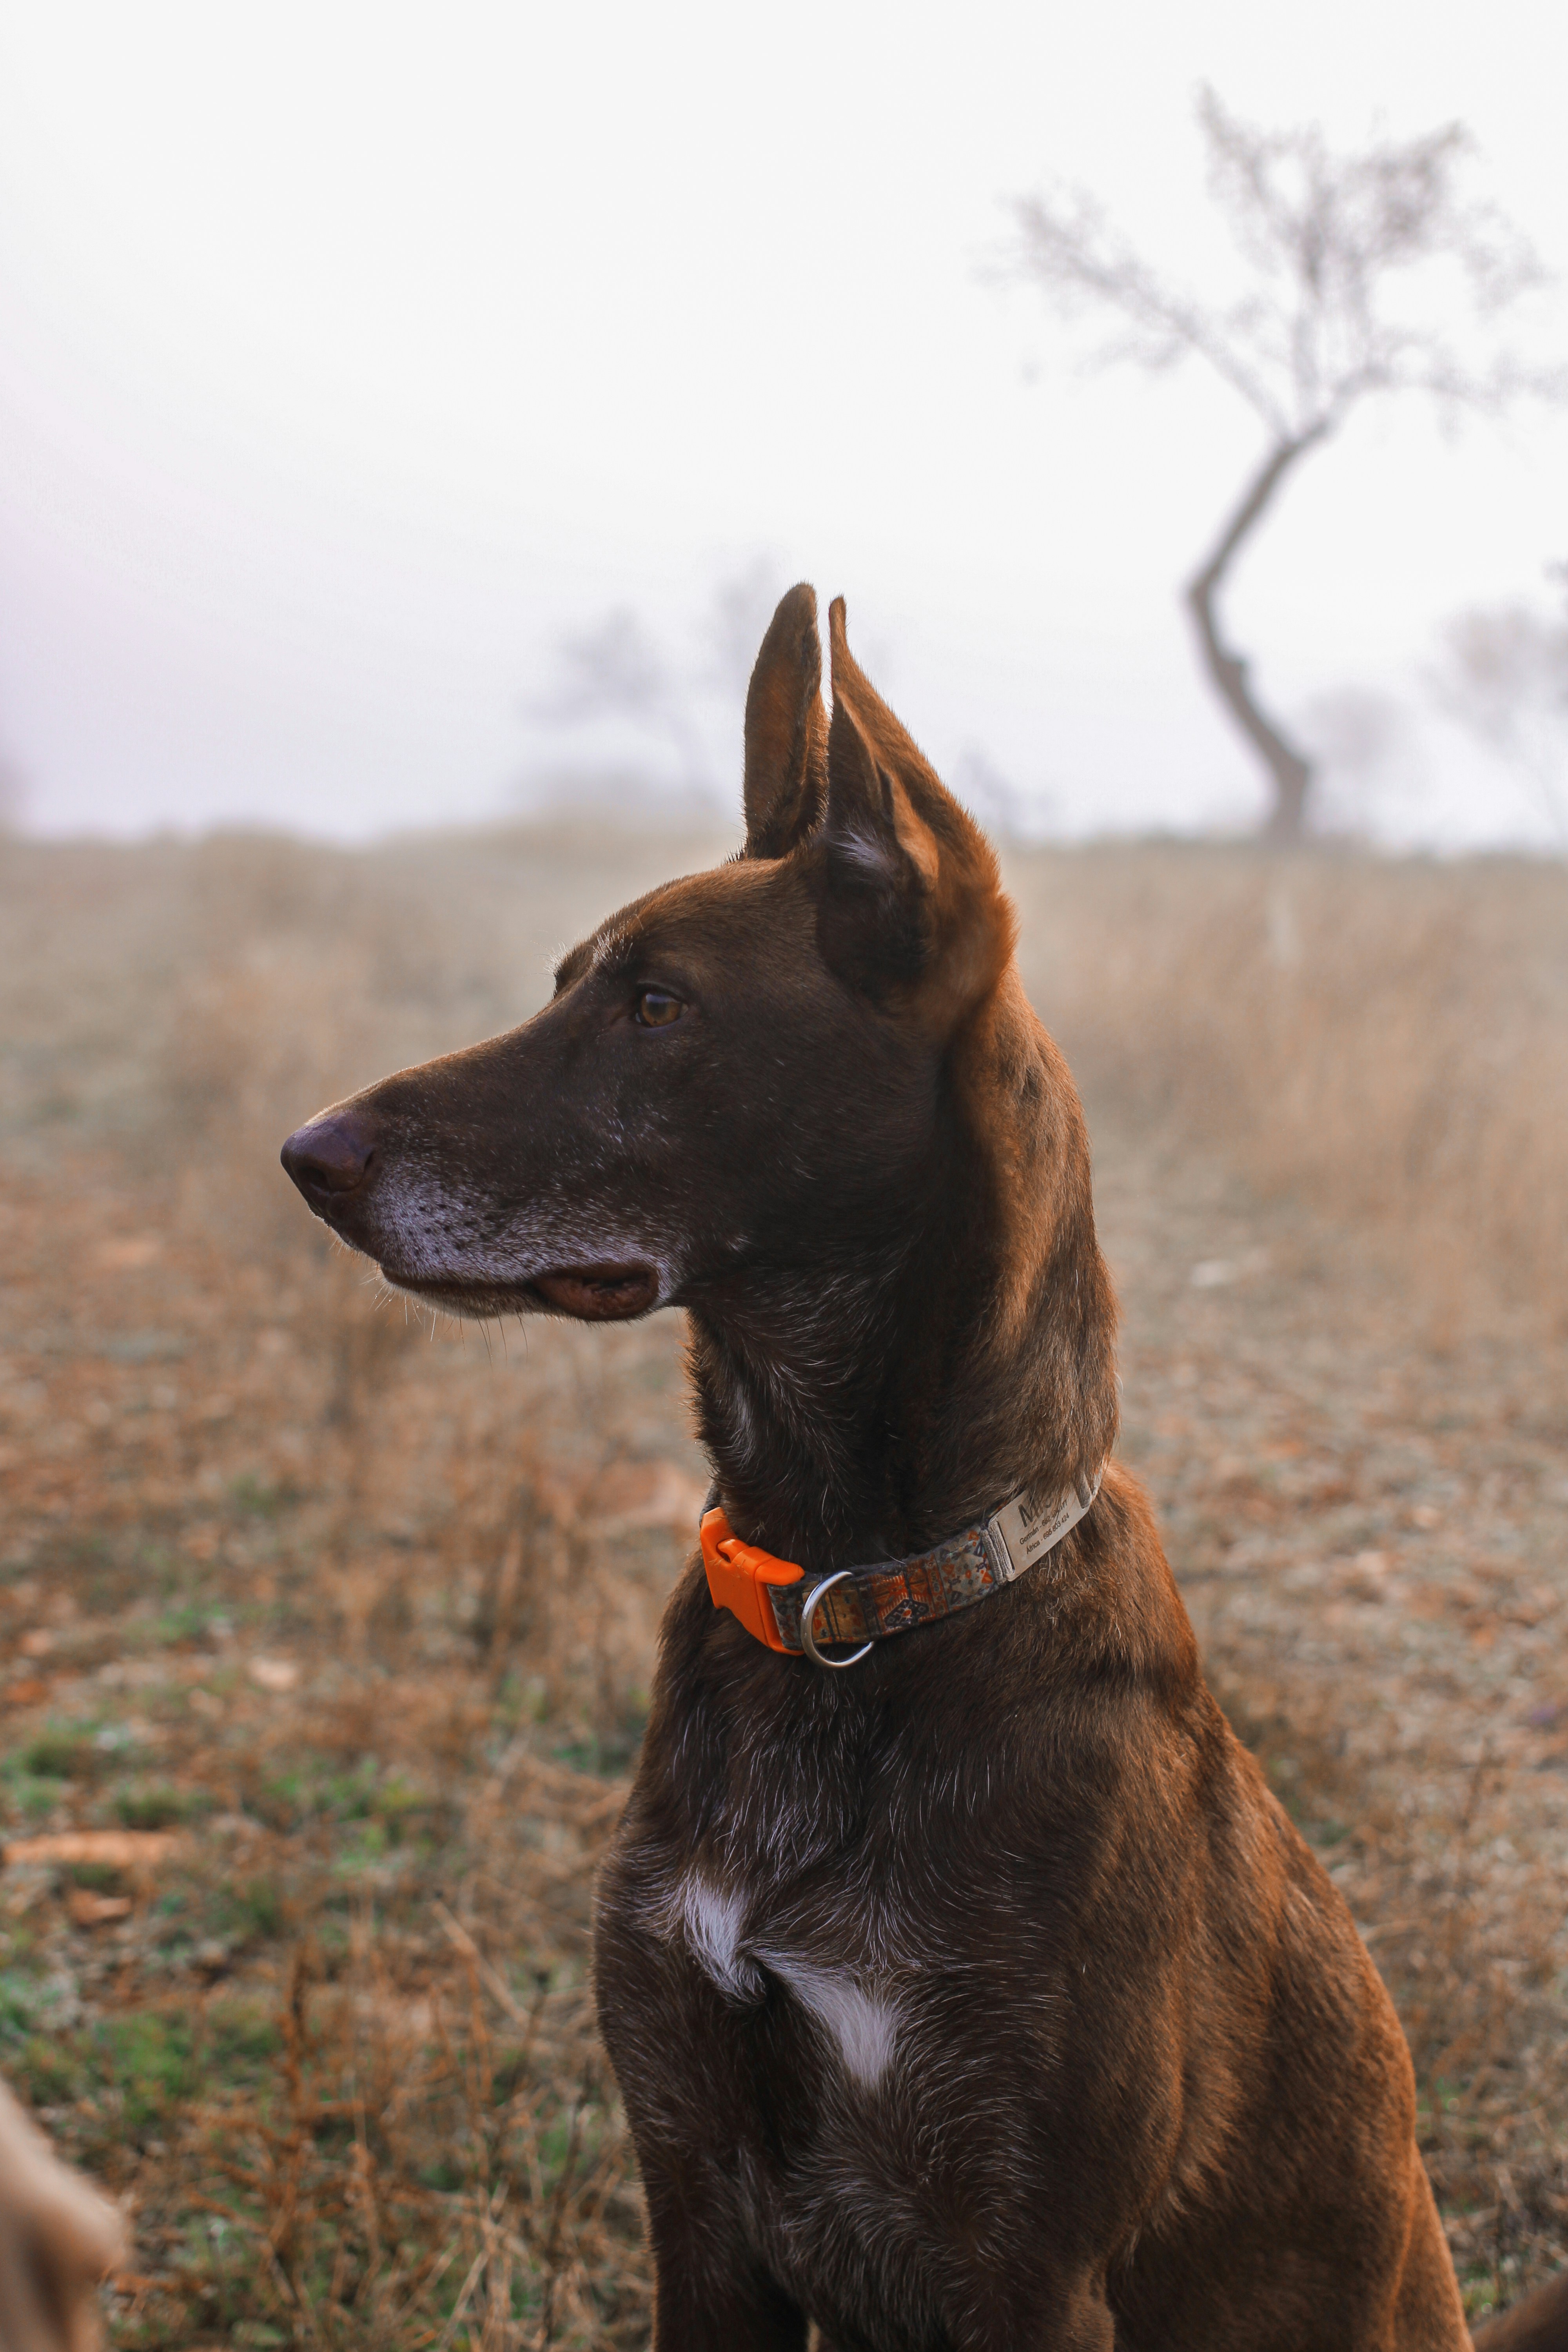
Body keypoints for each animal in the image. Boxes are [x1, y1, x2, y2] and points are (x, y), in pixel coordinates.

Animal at [285, 588, 1568, 2352]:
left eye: (659, 1006)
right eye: (571, 986)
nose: (308, 1158)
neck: (851, 1593)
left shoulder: (1024, 2256)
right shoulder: (696, 2191)